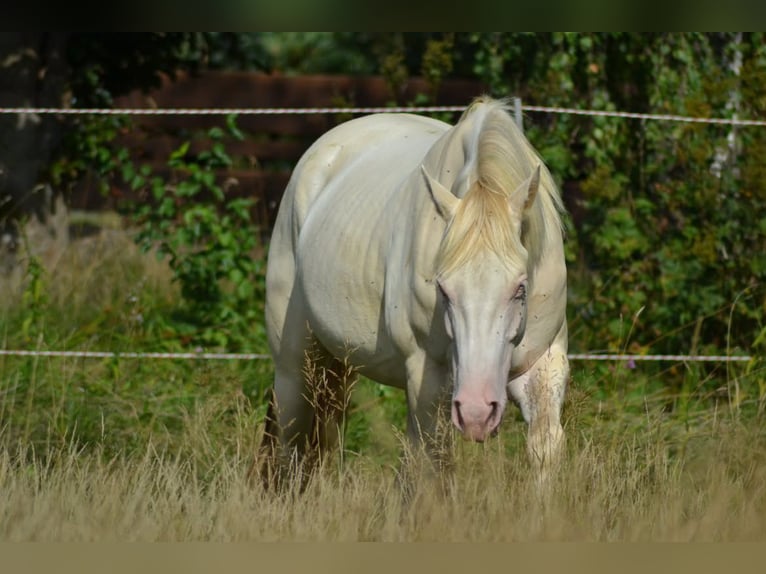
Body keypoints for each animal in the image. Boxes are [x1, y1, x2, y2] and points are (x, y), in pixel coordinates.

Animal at [257, 96, 569, 488]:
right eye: (443, 290)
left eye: (520, 288)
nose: (477, 412)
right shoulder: (427, 375)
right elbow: (434, 467)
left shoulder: (544, 366)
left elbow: (544, 450)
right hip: (295, 366)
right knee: (291, 448)